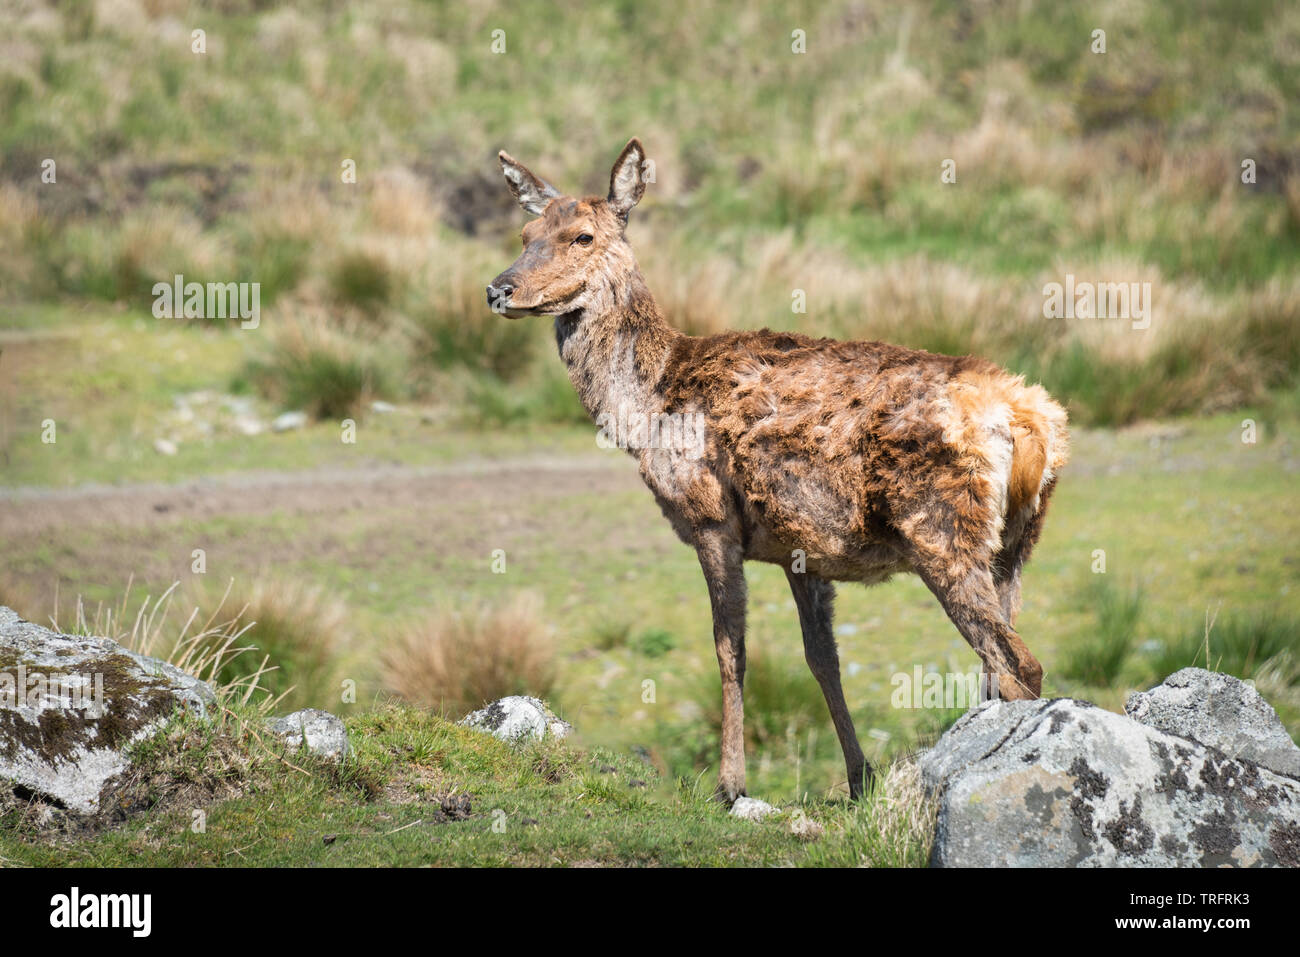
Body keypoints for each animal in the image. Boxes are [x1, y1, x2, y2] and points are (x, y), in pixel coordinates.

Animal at [488, 140, 1066, 800]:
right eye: (526, 232)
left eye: (582, 236)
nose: (499, 289)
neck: (649, 404)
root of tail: (1030, 420)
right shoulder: (801, 547)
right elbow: (822, 658)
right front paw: (859, 779)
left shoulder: (710, 517)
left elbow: (730, 649)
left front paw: (730, 784)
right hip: (1015, 543)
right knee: (1000, 659)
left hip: (942, 527)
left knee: (1016, 661)